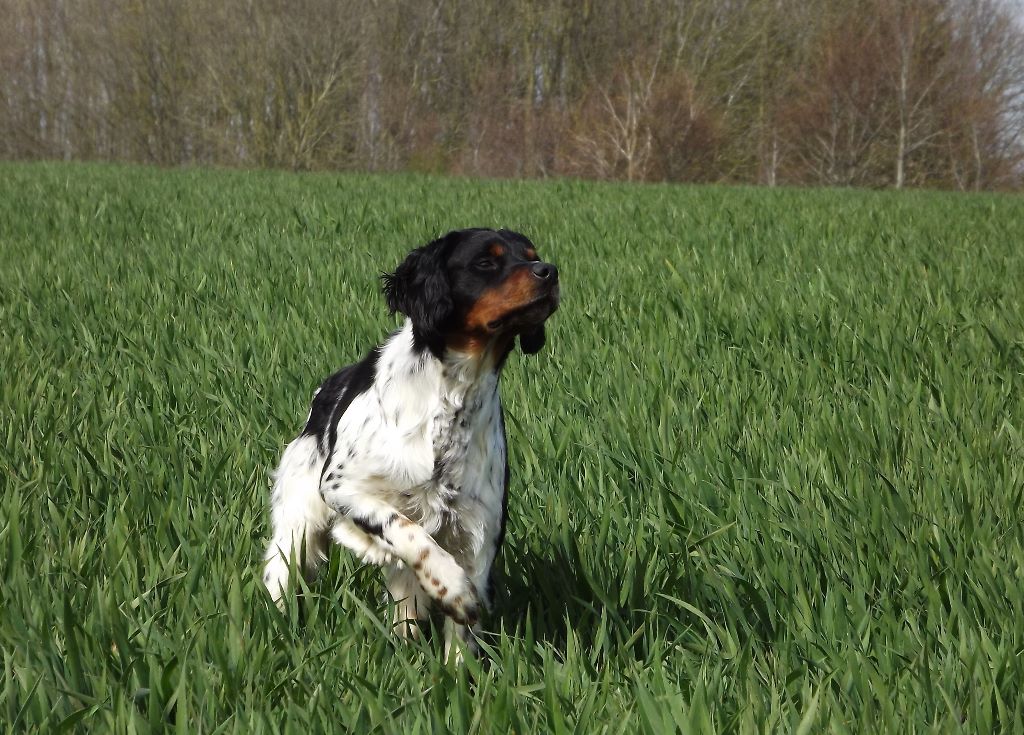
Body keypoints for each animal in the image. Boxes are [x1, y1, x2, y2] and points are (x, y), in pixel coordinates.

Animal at [260, 227, 557, 659]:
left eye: (533, 255)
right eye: (486, 261)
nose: (549, 271)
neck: (452, 397)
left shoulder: (478, 529)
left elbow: (460, 639)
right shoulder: (343, 486)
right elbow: (409, 532)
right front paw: (454, 589)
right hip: (297, 523)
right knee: (280, 576)